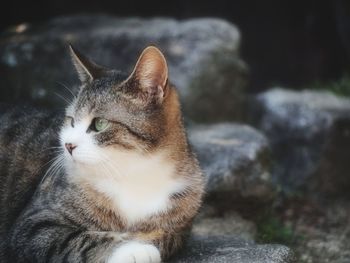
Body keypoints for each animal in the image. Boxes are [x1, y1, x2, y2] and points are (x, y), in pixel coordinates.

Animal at [0, 44, 204, 262]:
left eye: (99, 124)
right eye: (71, 121)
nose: (68, 145)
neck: (134, 172)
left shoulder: (180, 226)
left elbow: (161, 235)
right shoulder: (35, 223)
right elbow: (78, 239)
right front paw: (133, 250)